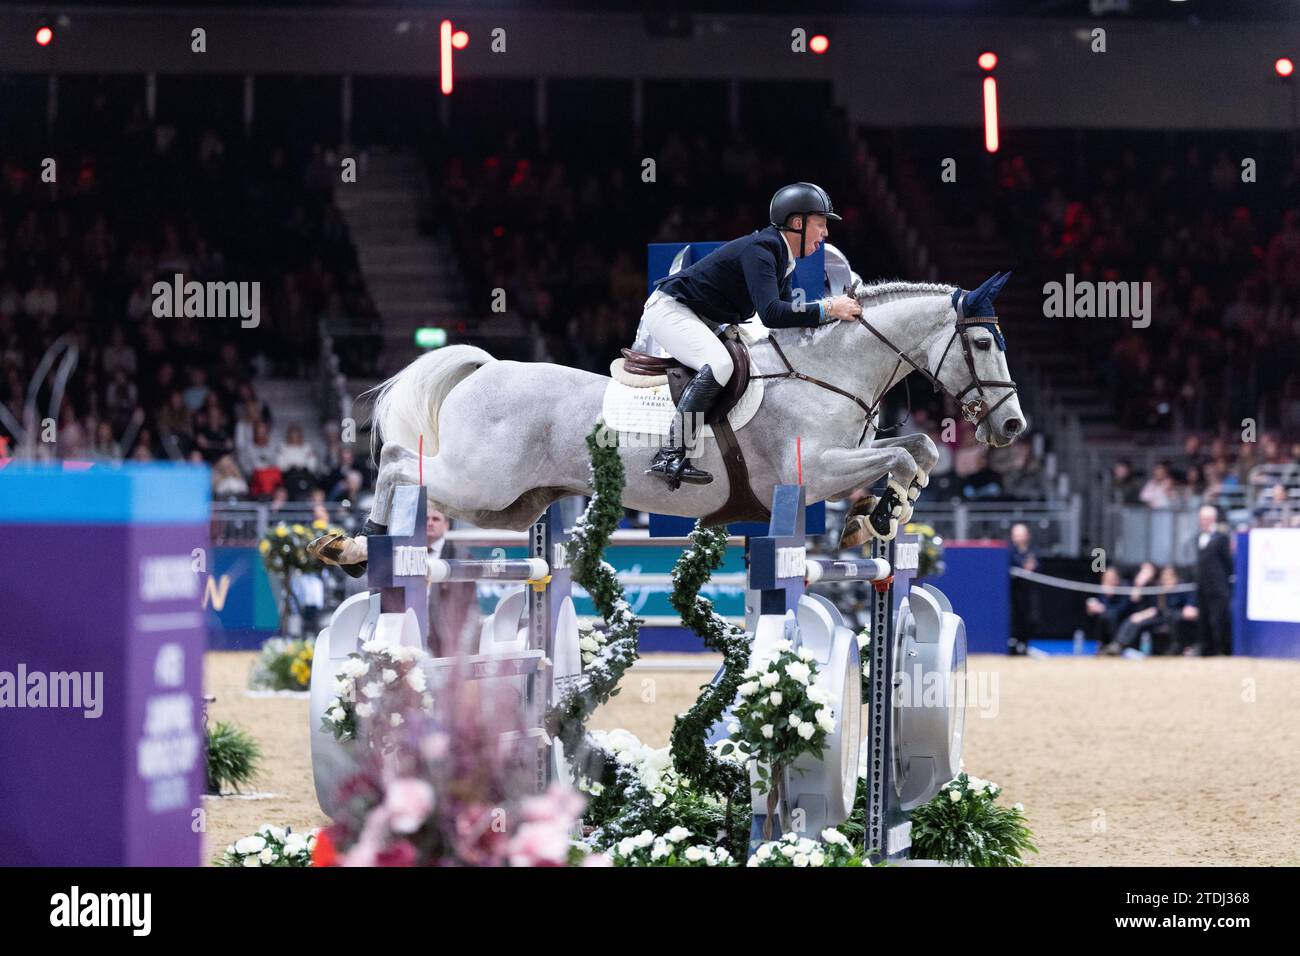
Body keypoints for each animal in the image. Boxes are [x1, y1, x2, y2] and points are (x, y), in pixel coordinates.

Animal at [312, 269, 1024, 567]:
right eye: (981, 342)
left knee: (419, 479)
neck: (827, 370)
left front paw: (879, 514)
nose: (1013, 429)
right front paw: (876, 515)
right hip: (481, 478)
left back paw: (359, 546)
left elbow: (920, 450)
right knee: (399, 464)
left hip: (508, 505)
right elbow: (906, 451)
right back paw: (349, 541)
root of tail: (486, 368)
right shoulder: (815, 471)